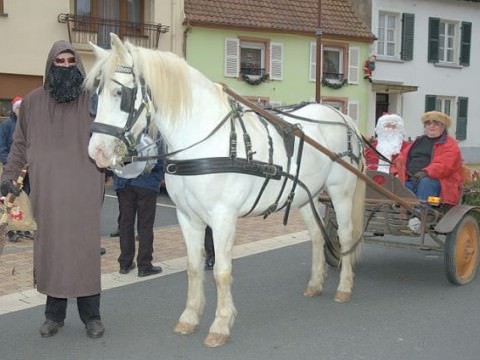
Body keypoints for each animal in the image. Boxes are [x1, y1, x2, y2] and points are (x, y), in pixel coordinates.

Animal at [85, 34, 364, 348]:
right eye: (96, 94)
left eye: (121, 93)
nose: (96, 152)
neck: (202, 140)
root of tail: (343, 118)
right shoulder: (187, 217)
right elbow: (194, 268)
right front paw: (190, 317)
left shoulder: (222, 218)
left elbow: (221, 270)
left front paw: (220, 324)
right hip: (308, 196)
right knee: (317, 236)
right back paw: (316, 283)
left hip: (340, 192)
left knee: (345, 235)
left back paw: (344, 286)